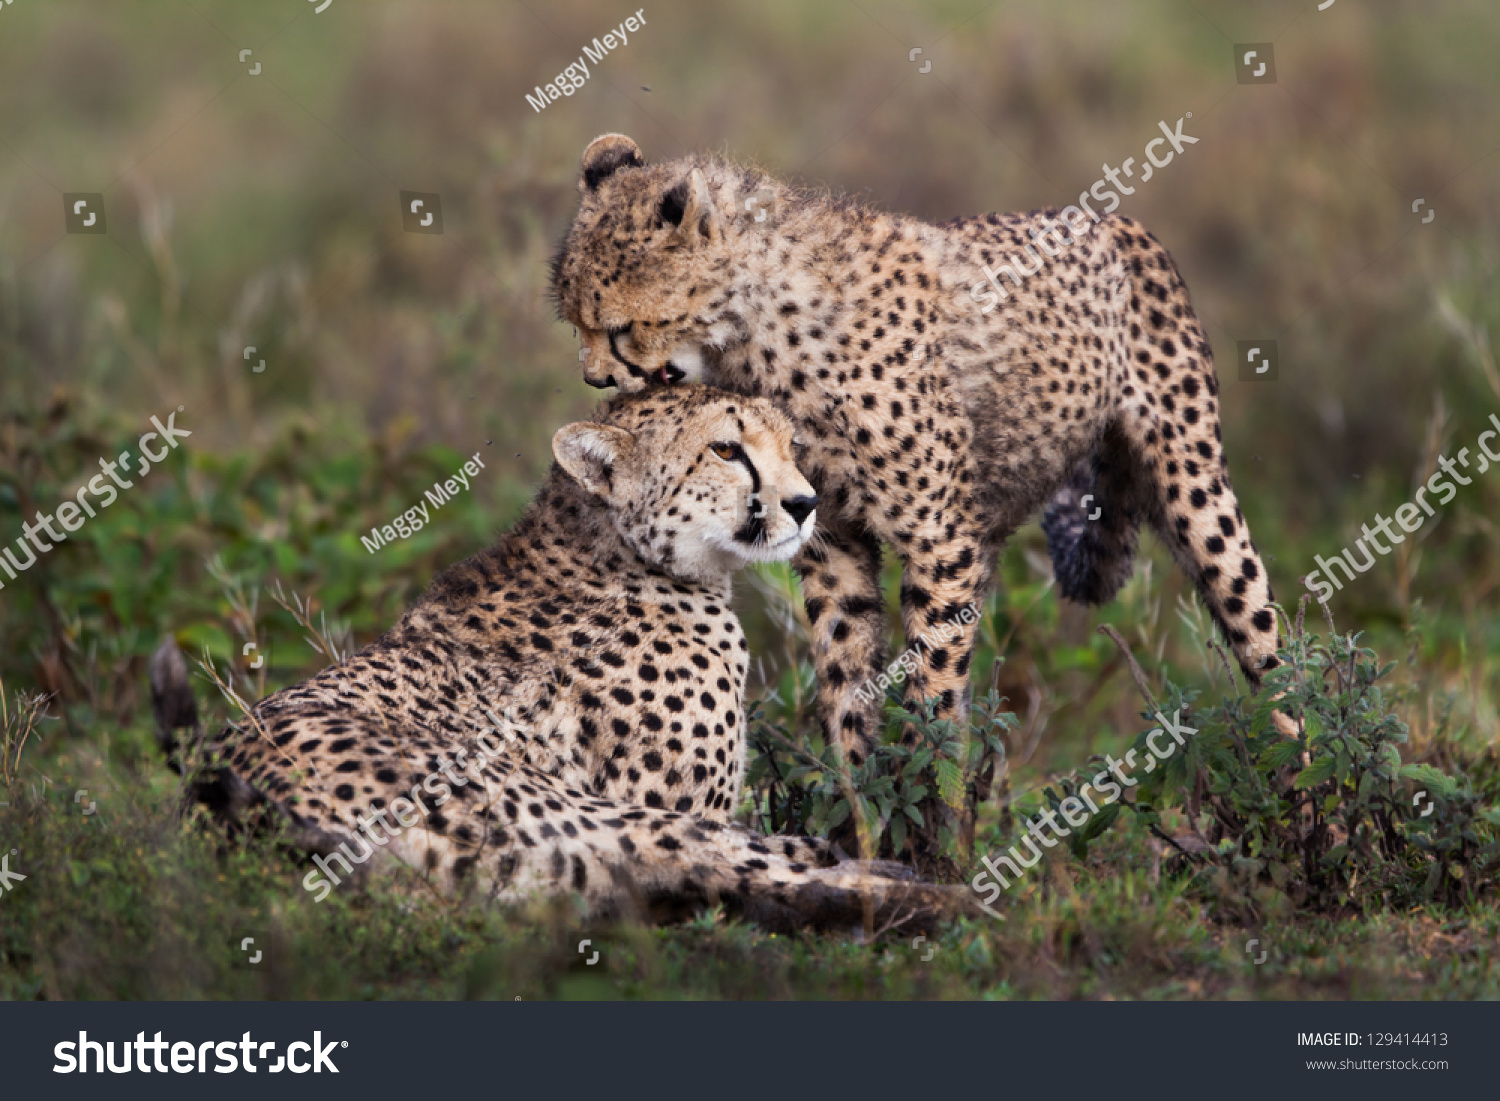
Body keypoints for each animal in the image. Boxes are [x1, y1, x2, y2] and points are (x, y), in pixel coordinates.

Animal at [158, 387, 960, 930]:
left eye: (790, 444)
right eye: (726, 449)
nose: (804, 503)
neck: (618, 552)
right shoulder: (660, 800)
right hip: (568, 812)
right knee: (703, 864)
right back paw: (941, 899)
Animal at [558, 133, 1284, 768]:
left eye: (616, 328)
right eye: (575, 326)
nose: (593, 378)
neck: (755, 331)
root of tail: (1114, 219)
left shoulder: (940, 538)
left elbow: (932, 688)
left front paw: (928, 802)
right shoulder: (830, 538)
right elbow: (847, 677)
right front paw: (864, 807)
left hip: (1194, 487)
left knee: (1268, 642)